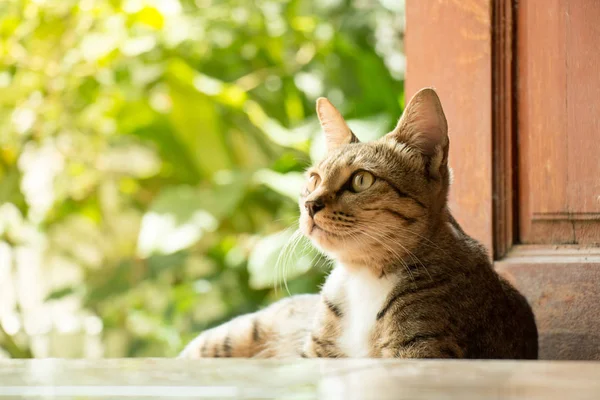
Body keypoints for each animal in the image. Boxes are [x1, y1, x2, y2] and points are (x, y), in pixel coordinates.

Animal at [179, 86, 540, 360]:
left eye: (361, 180)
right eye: (313, 179)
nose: (310, 204)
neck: (363, 277)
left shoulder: (423, 350)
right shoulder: (315, 354)